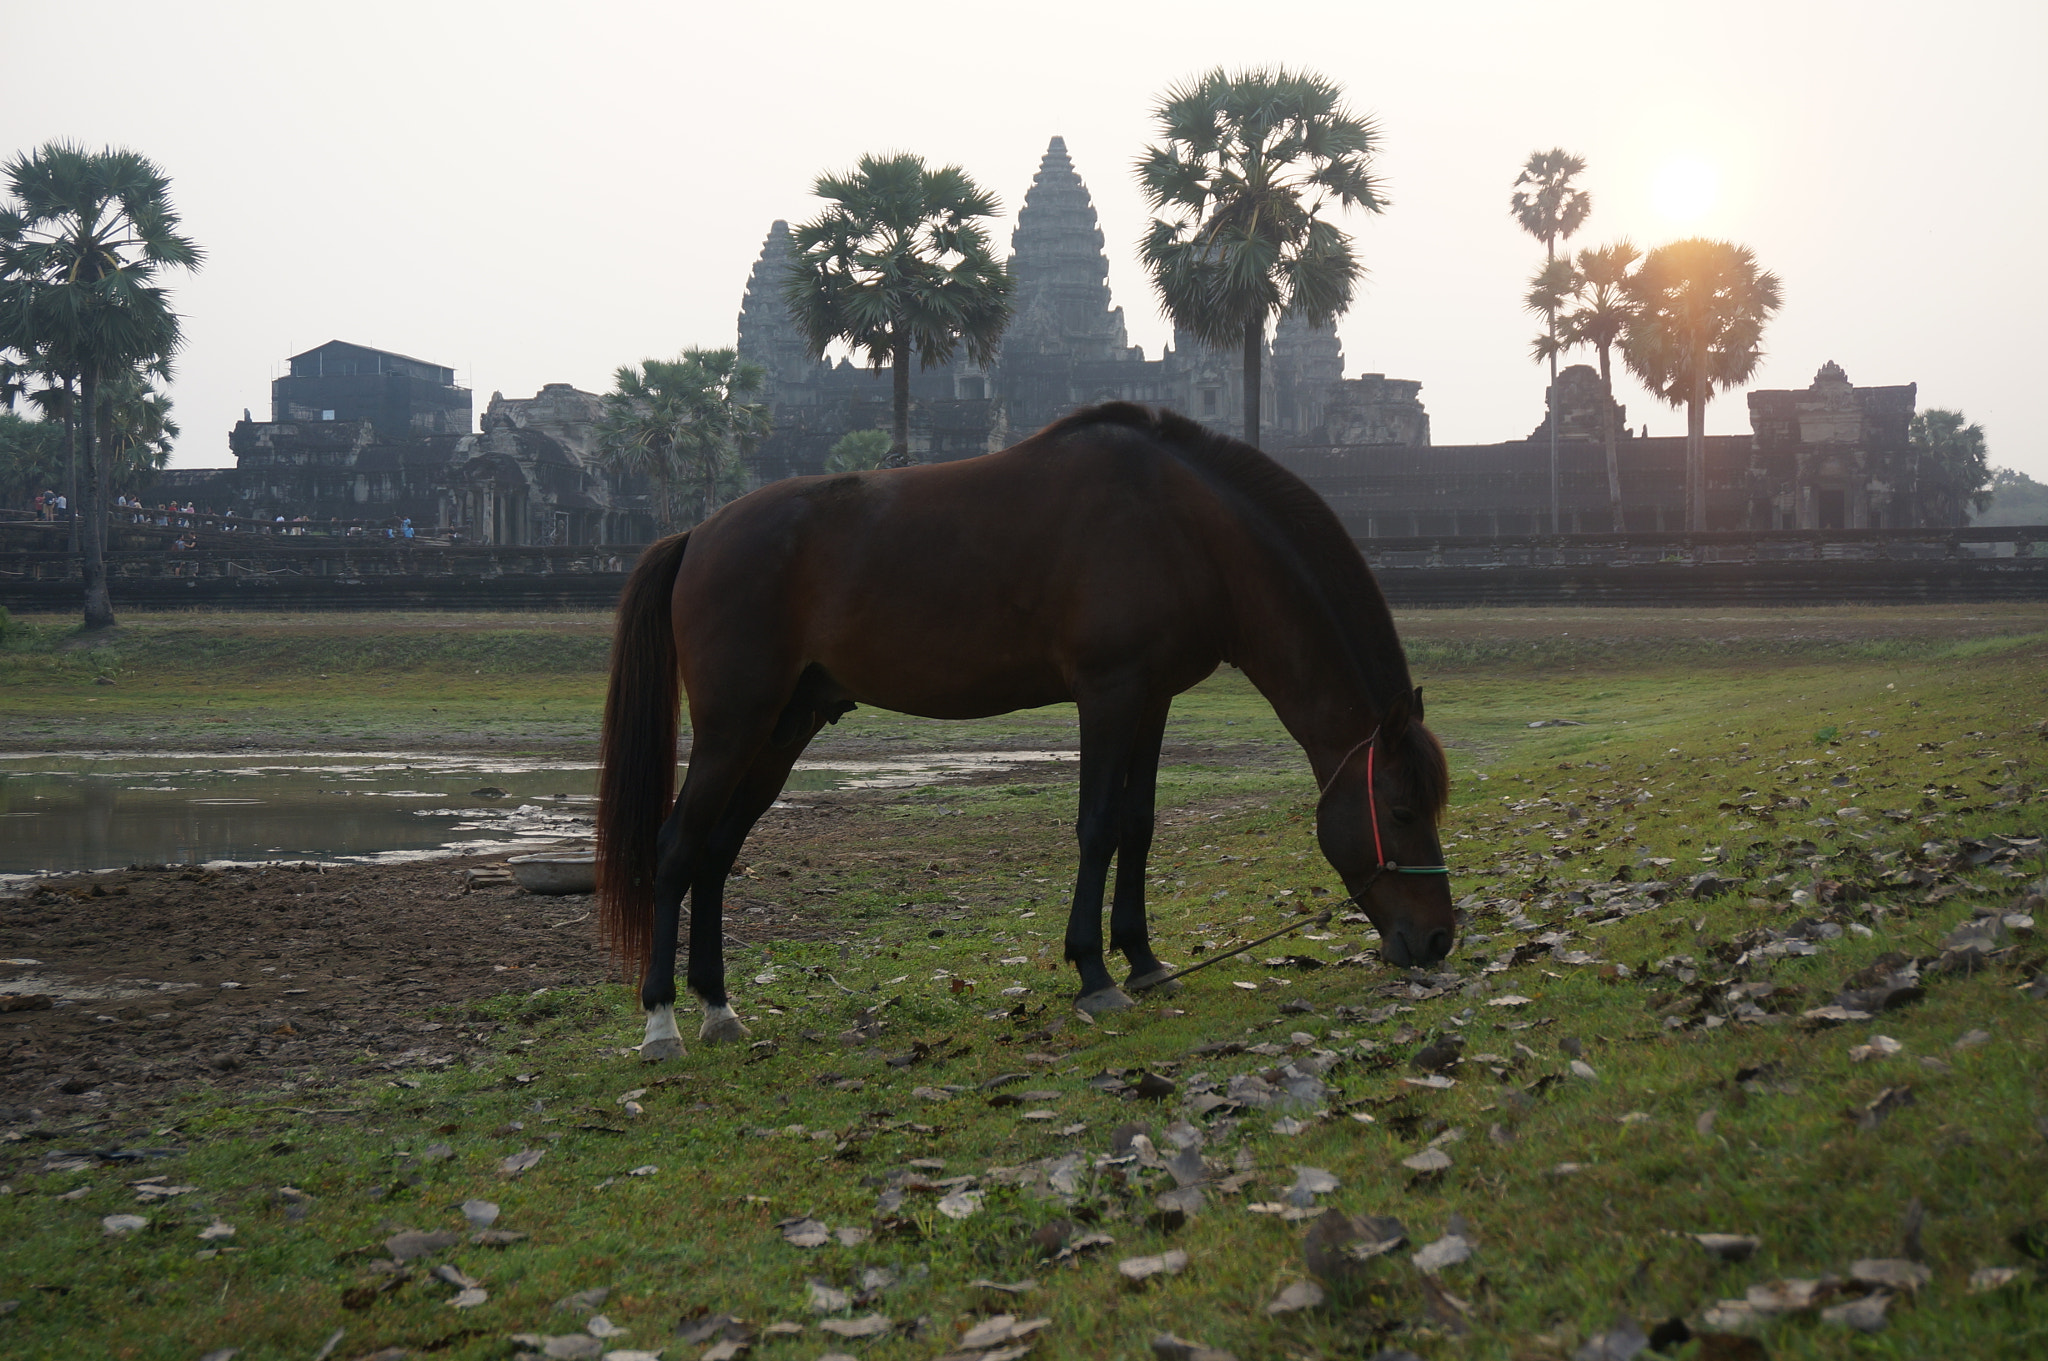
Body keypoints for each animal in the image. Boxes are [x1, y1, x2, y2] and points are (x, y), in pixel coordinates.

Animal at [596, 402, 1454, 1058]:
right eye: (1402, 809)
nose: (1440, 940)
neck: (1184, 526)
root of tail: (698, 535)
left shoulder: (1152, 699)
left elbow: (1139, 825)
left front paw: (1143, 959)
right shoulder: (1108, 694)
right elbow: (1098, 825)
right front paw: (1094, 975)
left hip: (782, 729)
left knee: (717, 853)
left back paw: (719, 1009)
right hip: (732, 728)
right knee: (677, 847)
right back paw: (662, 1022)